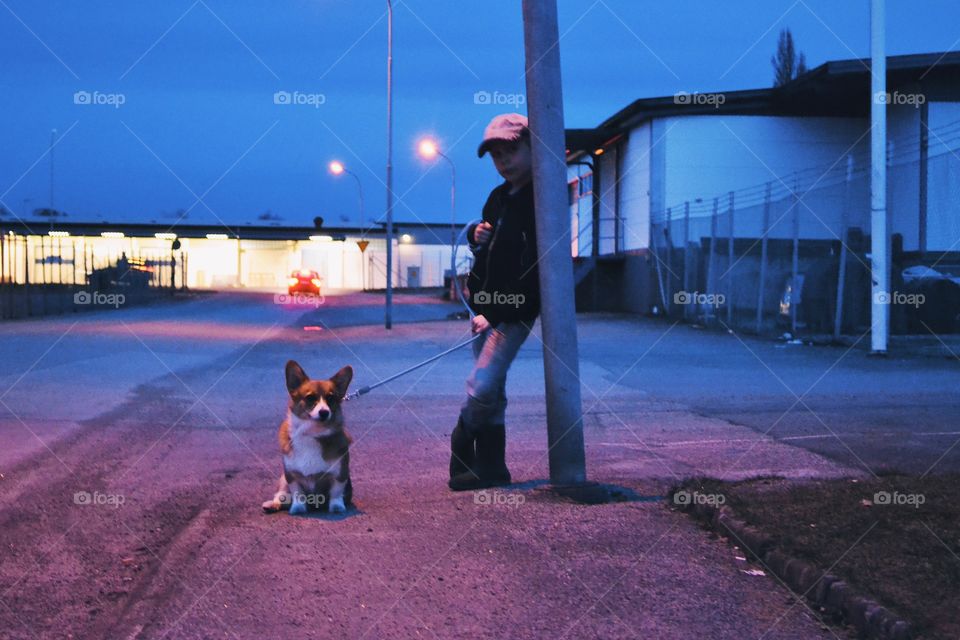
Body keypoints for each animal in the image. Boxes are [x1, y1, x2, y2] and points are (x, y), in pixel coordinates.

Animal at [260, 360, 354, 516]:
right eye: (310, 398)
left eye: (331, 398)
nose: (324, 412)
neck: (312, 433)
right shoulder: (291, 475)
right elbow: (298, 494)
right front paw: (298, 508)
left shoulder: (340, 474)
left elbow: (336, 493)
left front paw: (336, 507)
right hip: (283, 480)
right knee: (281, 495)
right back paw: (273, 504)